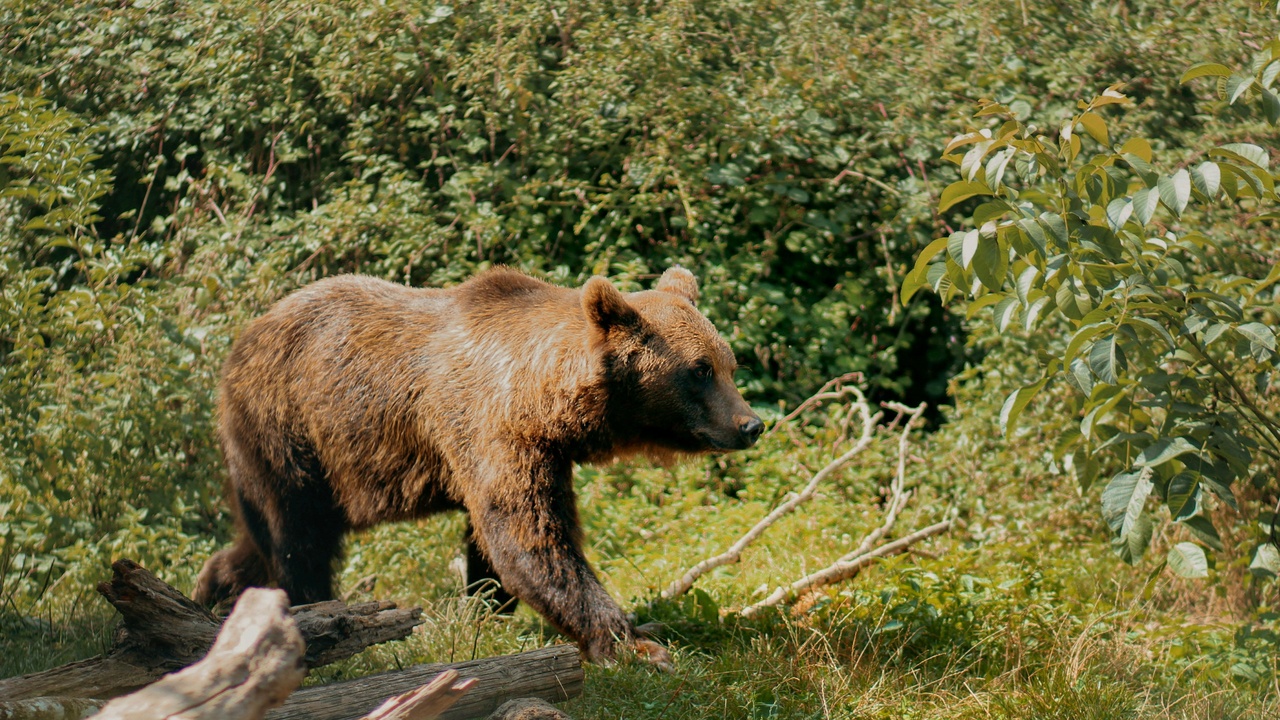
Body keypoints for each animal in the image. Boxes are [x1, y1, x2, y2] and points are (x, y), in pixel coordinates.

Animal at [193, 266, 764, 667]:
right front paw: (634, 644)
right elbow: (530, 539)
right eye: (699, 369)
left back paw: (214, 591)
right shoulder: (490, 429)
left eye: (729, 364)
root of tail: (242, 338)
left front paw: (488, 611)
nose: (750, 424)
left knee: (260, 538)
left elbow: (499, 540)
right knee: (296, 537)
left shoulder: (539, 453)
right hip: (286, 432)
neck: (543, 400)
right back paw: (308, 612)